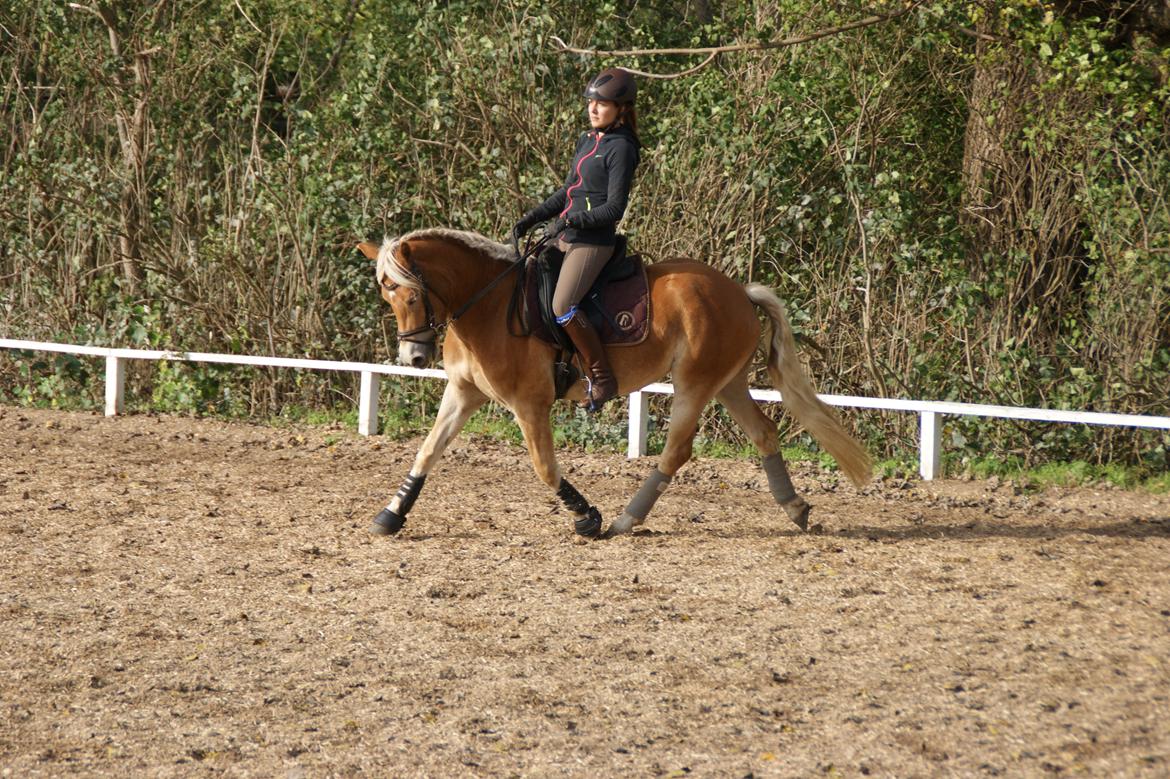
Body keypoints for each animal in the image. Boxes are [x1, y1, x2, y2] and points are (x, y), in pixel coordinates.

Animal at [355, 228, 870, 538]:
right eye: (387, 296)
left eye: (412, 295)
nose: (413, 357)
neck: (487, 304)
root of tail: (739, 291)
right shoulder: (463, 393)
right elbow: (427, 450)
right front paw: (391, 515)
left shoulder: (529, 403)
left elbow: (544, 467)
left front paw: (588, 517)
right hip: (728, 382)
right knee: (763, 431)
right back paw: (796, 508)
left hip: (694, 382)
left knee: (677, 450)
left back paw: (625, 518)